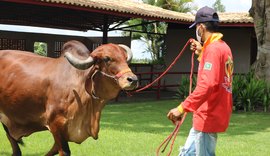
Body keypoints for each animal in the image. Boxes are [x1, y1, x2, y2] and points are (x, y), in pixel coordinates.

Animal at [0, 40, 138, 155]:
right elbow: (64, 151)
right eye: (106, 58)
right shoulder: (56, 123)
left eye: (125, 58)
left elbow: (55, 149)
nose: (133, 79)